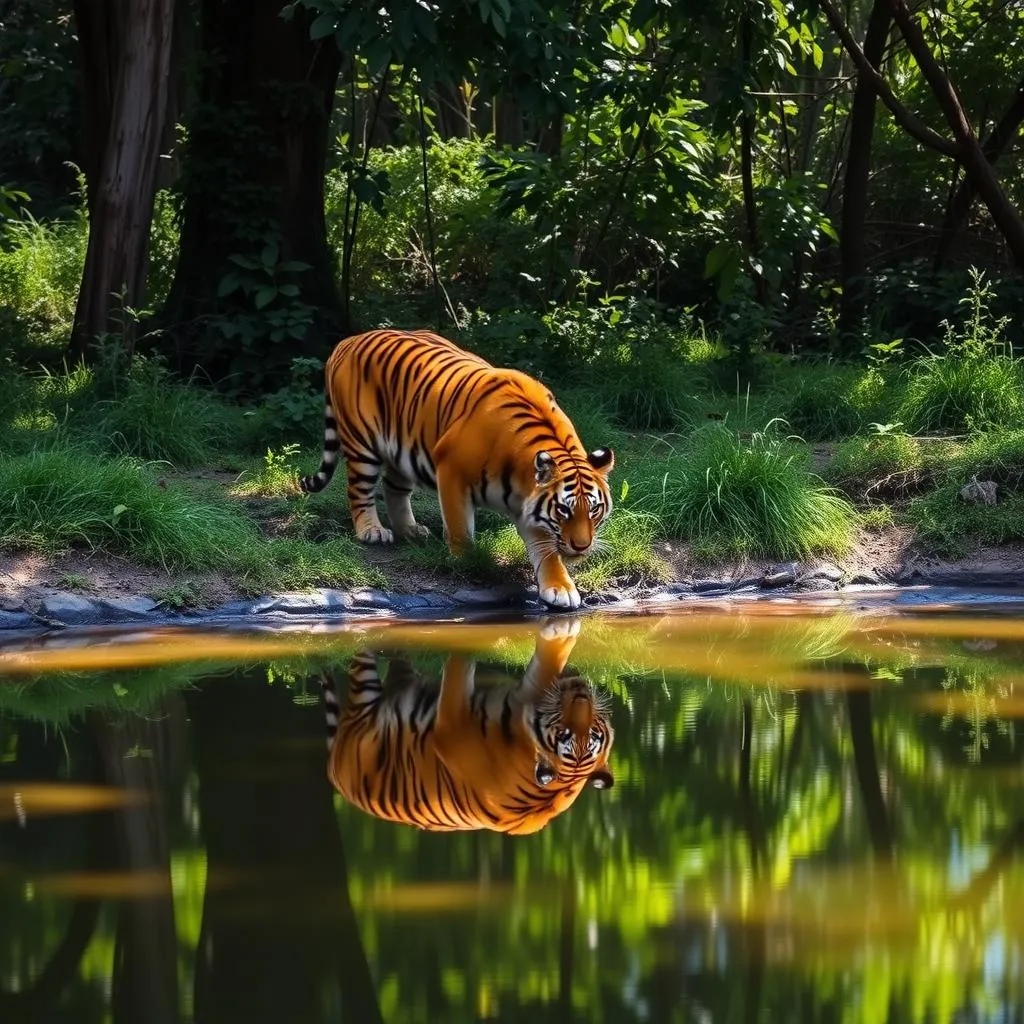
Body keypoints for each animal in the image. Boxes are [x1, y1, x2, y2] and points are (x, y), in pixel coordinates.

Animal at [299, 331, 614, 610]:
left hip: (404, 445)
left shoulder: (531, 507)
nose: (582, 546)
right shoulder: (451, 472)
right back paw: (372, 531)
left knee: (393, 488)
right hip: (362, 444)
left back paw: (410, 529)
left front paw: (560, 589)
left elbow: (547, 550)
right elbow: (460, 526)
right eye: (563, 510)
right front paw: (465, 561)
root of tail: (349, 340)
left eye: (594, 510)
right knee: (359, 491)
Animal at [315, 618, 610, 835]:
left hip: (366, 697)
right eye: (566, 733)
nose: (581, 692)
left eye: (590, 734)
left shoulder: (451, 723)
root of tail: (333, 773)